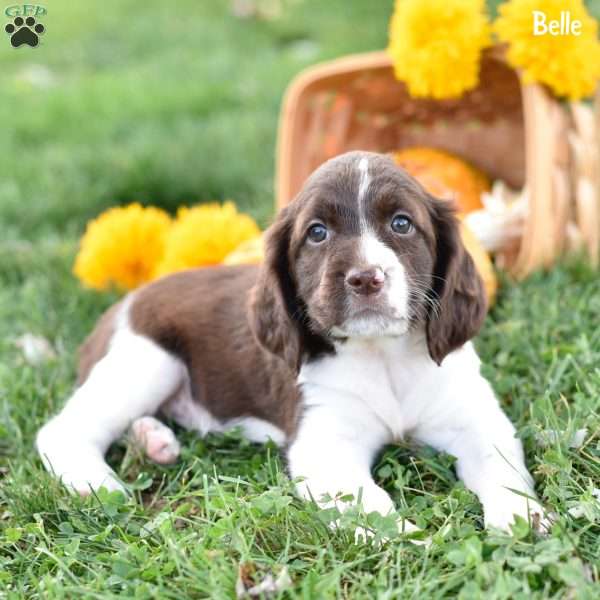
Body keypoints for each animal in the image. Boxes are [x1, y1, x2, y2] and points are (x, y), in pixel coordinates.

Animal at [35, 152, 548, 532]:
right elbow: (371, 504)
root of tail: (119, 306)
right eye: (317, 233)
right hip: (145, 359)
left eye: (402, 224)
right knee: (62, 430)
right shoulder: (324, 443)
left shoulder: (474, 417)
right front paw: (410, 543)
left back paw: (154, 440)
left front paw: (522, 518)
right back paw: (98, 484)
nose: (366, 278)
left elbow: (500, 465)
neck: (382, 355)